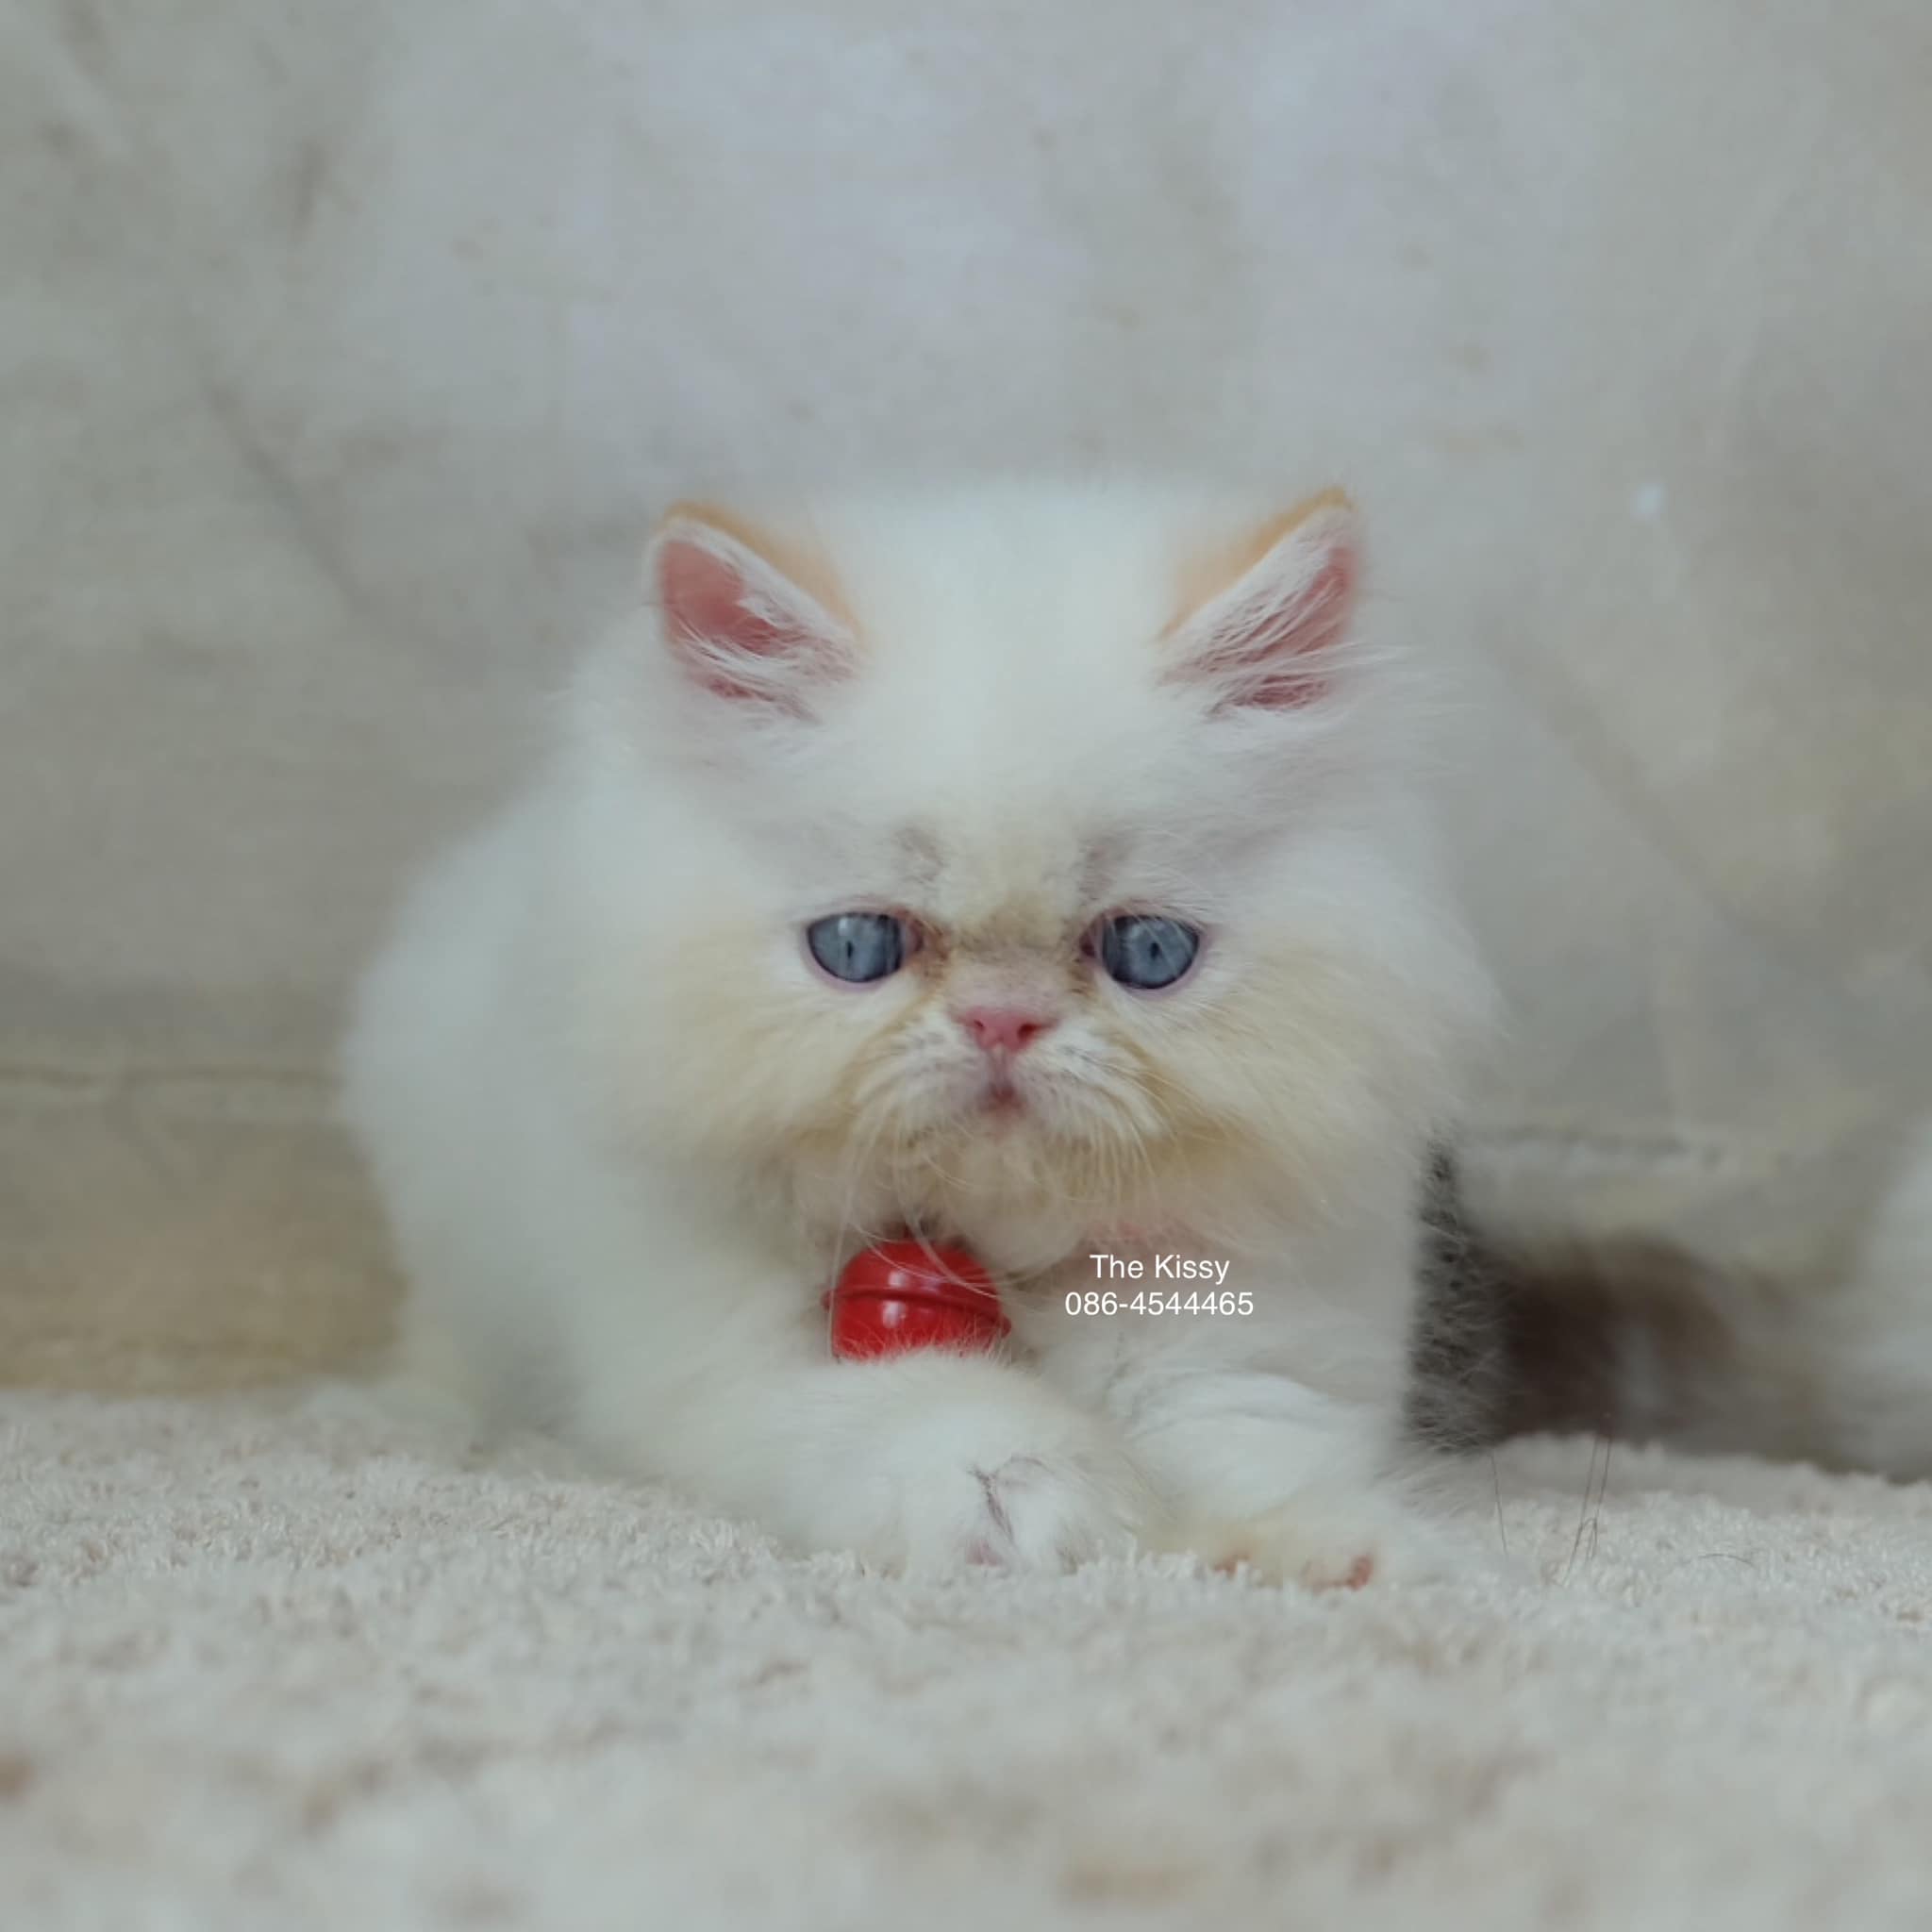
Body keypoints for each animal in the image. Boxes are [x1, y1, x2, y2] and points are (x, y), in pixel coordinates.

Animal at [341, 480, 1495, 1586]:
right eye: (857, 947)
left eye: (1148, 951)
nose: (1002, 1016)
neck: (1006, 1254)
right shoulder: (713, 1356)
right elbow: (920, 1406)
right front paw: (1025, 1491)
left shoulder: (1244, 1313)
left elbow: (1236, 1436)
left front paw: (1326, 1549)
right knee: (443, 1336)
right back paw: (396, 1425)